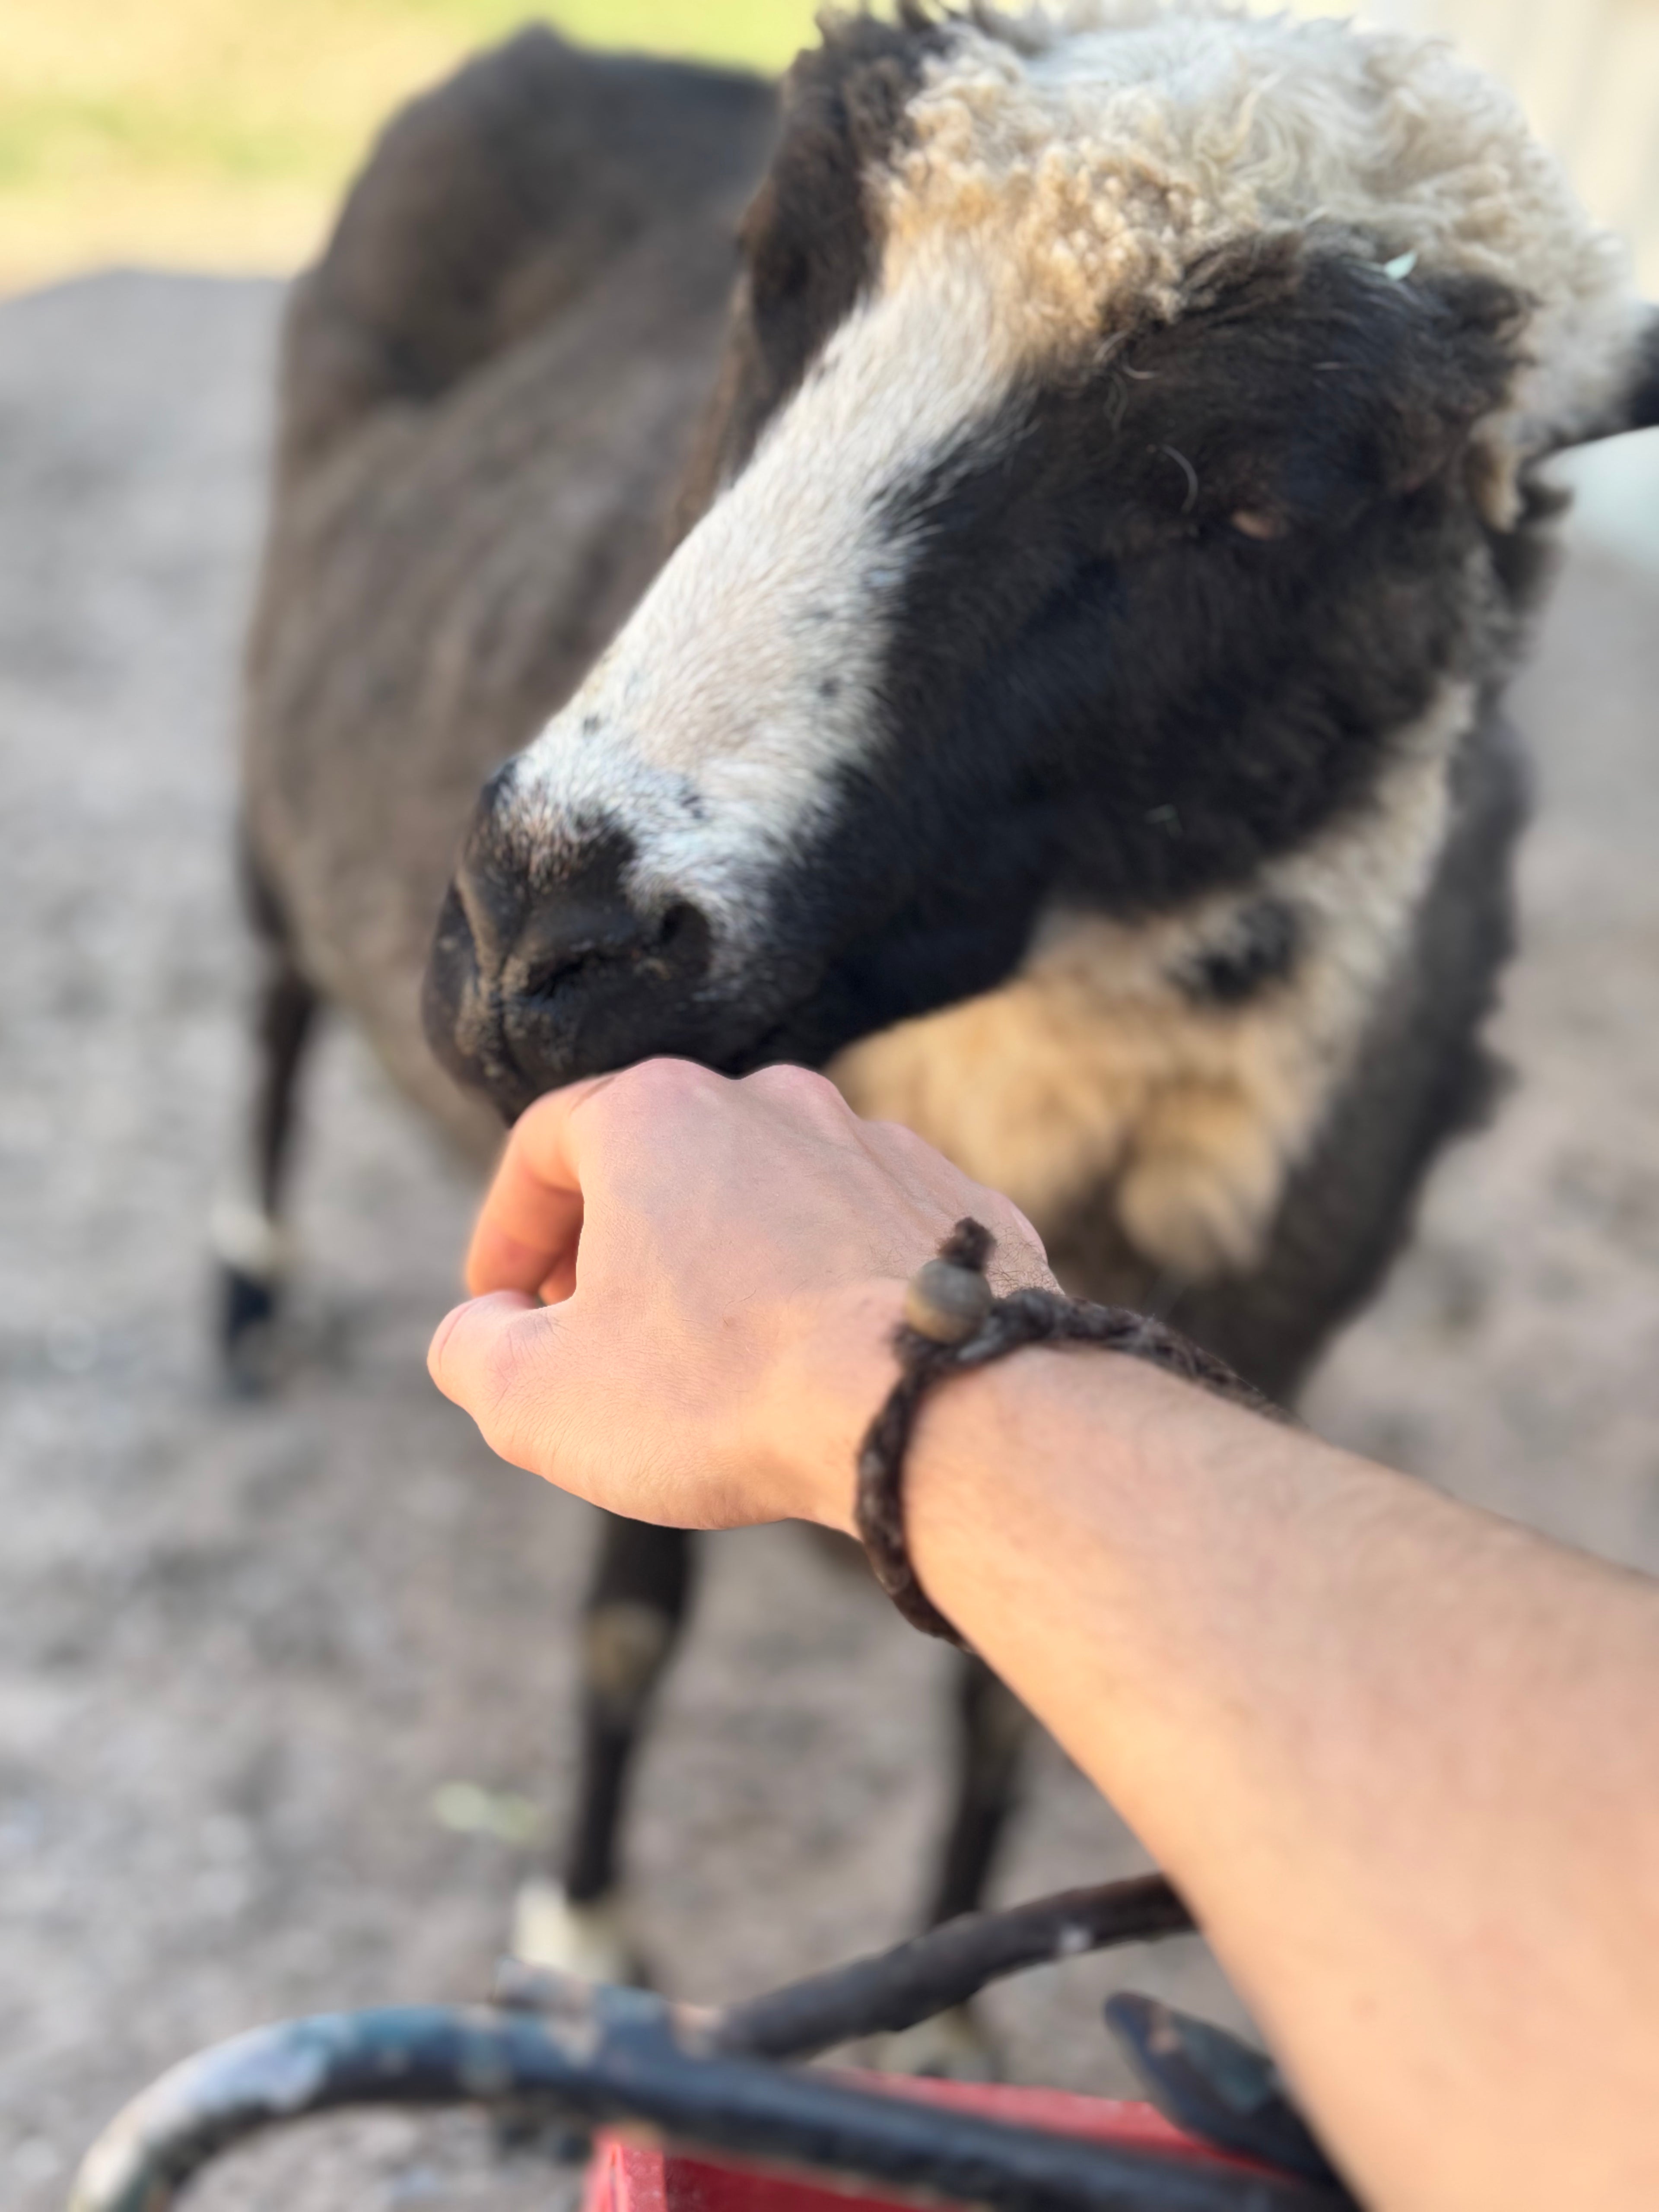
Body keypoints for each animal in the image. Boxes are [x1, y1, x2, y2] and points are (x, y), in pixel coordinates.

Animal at [225, 1, 1658, 2039]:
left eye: (1251, 498)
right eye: (774, 282)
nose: (539, 940)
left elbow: (1013, 1708)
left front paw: (963, 1998)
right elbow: (629, 1620)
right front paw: (580, 1935)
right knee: (273, 993)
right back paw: (249, 1289)